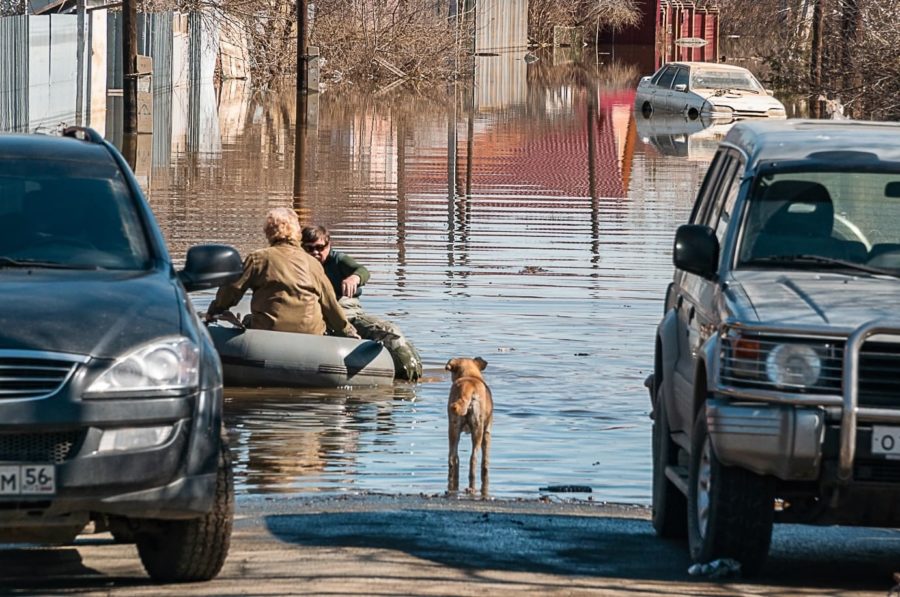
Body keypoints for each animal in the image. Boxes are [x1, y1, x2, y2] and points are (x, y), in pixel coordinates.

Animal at [442, 358, 492, 494]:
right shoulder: (487, 430)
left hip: (453, 427)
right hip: (478, 428)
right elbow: (485, 458)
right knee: (473, 458)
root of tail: (467, 388)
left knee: (452, 457)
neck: (470, 375)